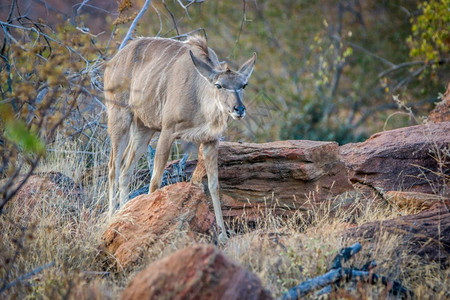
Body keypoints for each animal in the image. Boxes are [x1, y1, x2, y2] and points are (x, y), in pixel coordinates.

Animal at [103, 35, 255, 243]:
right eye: (219, 85)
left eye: (243, 85)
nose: (238, 109)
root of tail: (112, 62)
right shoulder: (168, 131)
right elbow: (155, 181)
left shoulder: (210, 141)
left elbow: (214, 185)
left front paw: (223, 236)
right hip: (119, 115)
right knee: (114, 167)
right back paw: (112, 218)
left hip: (144, 127)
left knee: (126, 168)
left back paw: (124, 213)